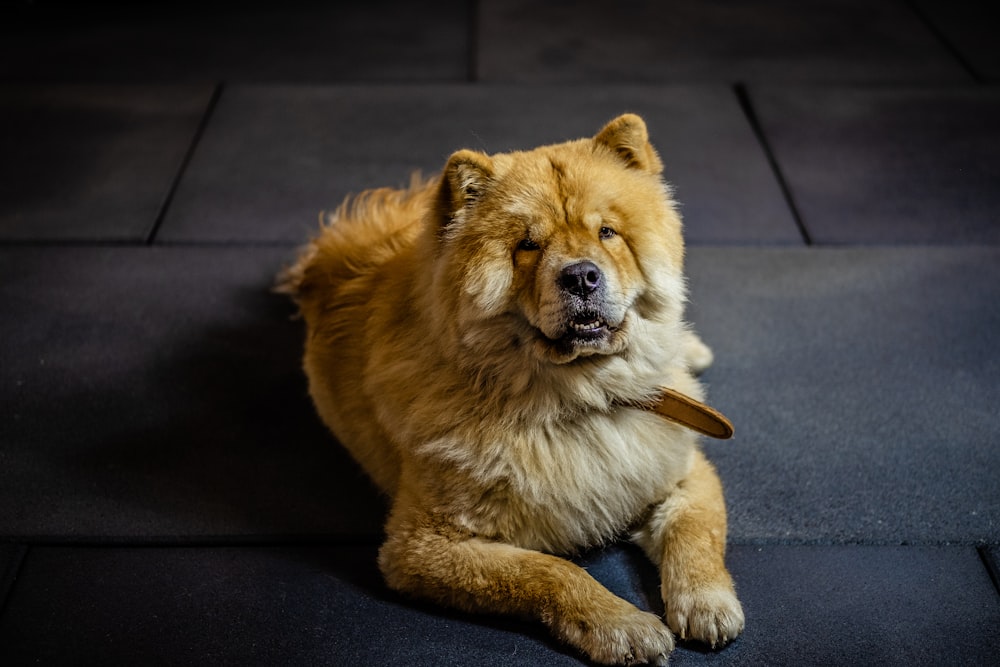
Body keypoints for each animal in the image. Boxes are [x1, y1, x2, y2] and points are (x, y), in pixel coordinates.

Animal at [280, 113, 744, 664]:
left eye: (607, 232)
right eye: (528, 245)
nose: (582, 276)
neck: (581, 397)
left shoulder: (683, 469)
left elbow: (696, 532)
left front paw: (708, 604)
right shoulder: (421, 545)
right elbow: (548, 571)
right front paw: (623, 626)